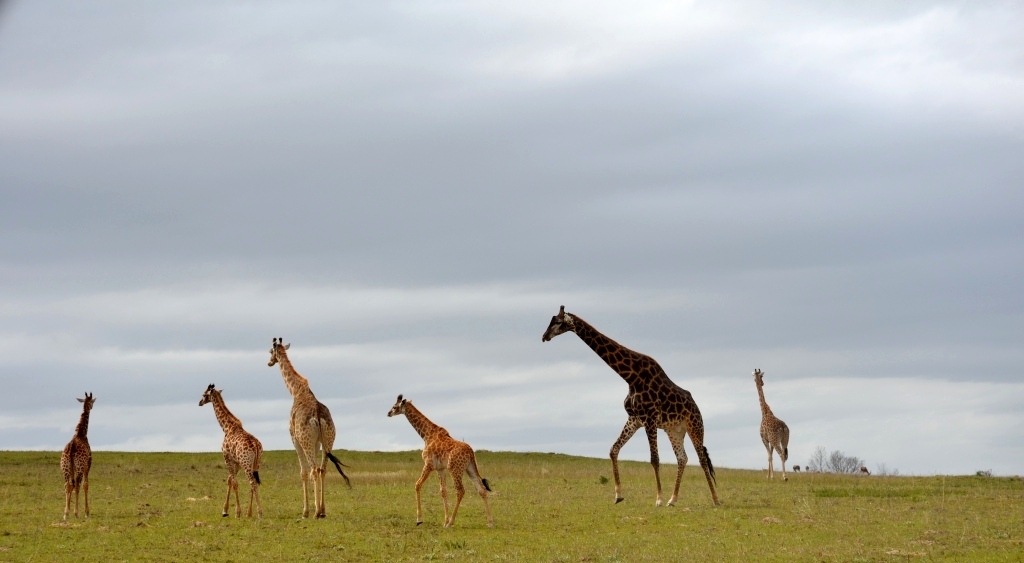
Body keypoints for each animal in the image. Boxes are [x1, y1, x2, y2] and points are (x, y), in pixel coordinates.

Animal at [61, 392, 95, 521]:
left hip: (65, 468)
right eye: (91, 401)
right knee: (78, 486)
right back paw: (76, 513)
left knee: (68, 485)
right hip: (79, 468)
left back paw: (66, 513)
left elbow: (71, 485)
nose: (91, 407)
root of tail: (71, 448)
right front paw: (87, 512)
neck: (81, 434)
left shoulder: (72, 468)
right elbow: (86, 485)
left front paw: (68, 511)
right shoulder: (87, 465)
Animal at [199, 384, 264, 518]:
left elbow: (234, 482)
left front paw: (237, 512)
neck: (226, 427)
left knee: (252, 483)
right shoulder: (236, 461)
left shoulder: (226, 457)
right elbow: (230, 480)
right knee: (254, 483)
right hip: (256, 463)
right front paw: (225, 510)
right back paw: (250, 513)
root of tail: (256, 445)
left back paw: (260, 513)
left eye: (204, 394)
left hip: (246, 463)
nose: (200, 402)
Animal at [268, 337, 350, 518]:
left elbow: (303, 472)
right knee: (322, 469)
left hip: (306, 441)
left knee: (313, 469)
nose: (269, 362)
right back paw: (322, 511)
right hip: (328, 440)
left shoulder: (294, 439)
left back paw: (315, 512)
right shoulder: (317, 442)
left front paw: (305, 511)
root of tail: (318, 415)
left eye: (270, 351)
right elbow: (318, 470)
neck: (296, 391)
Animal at [387, 394, 493, 528]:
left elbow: (417, 484)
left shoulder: (429, 464)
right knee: (481, 489)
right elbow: (443, 491)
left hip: (455, 469)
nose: (388, 413)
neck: (426, 435)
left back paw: (451, 523)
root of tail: (471, 452)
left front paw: (419, 519)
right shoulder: (440, 468)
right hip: (470, 468)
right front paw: (445, 520)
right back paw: (490, 522)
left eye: (394, 406)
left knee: (460, 491)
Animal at [542, 306, 720, 507]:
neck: (631, 377)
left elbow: (654, 459)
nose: (544, 336)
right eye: (551, 320)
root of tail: (696, 407)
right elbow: (613, 450)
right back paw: (673, 500)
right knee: (682, 458)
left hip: (695, 426)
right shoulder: (635, 419)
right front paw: (618, 495)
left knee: (702, 459)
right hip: (674, 430)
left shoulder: (650, 418)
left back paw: (715, 499)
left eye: (558, 322)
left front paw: (658, 499)